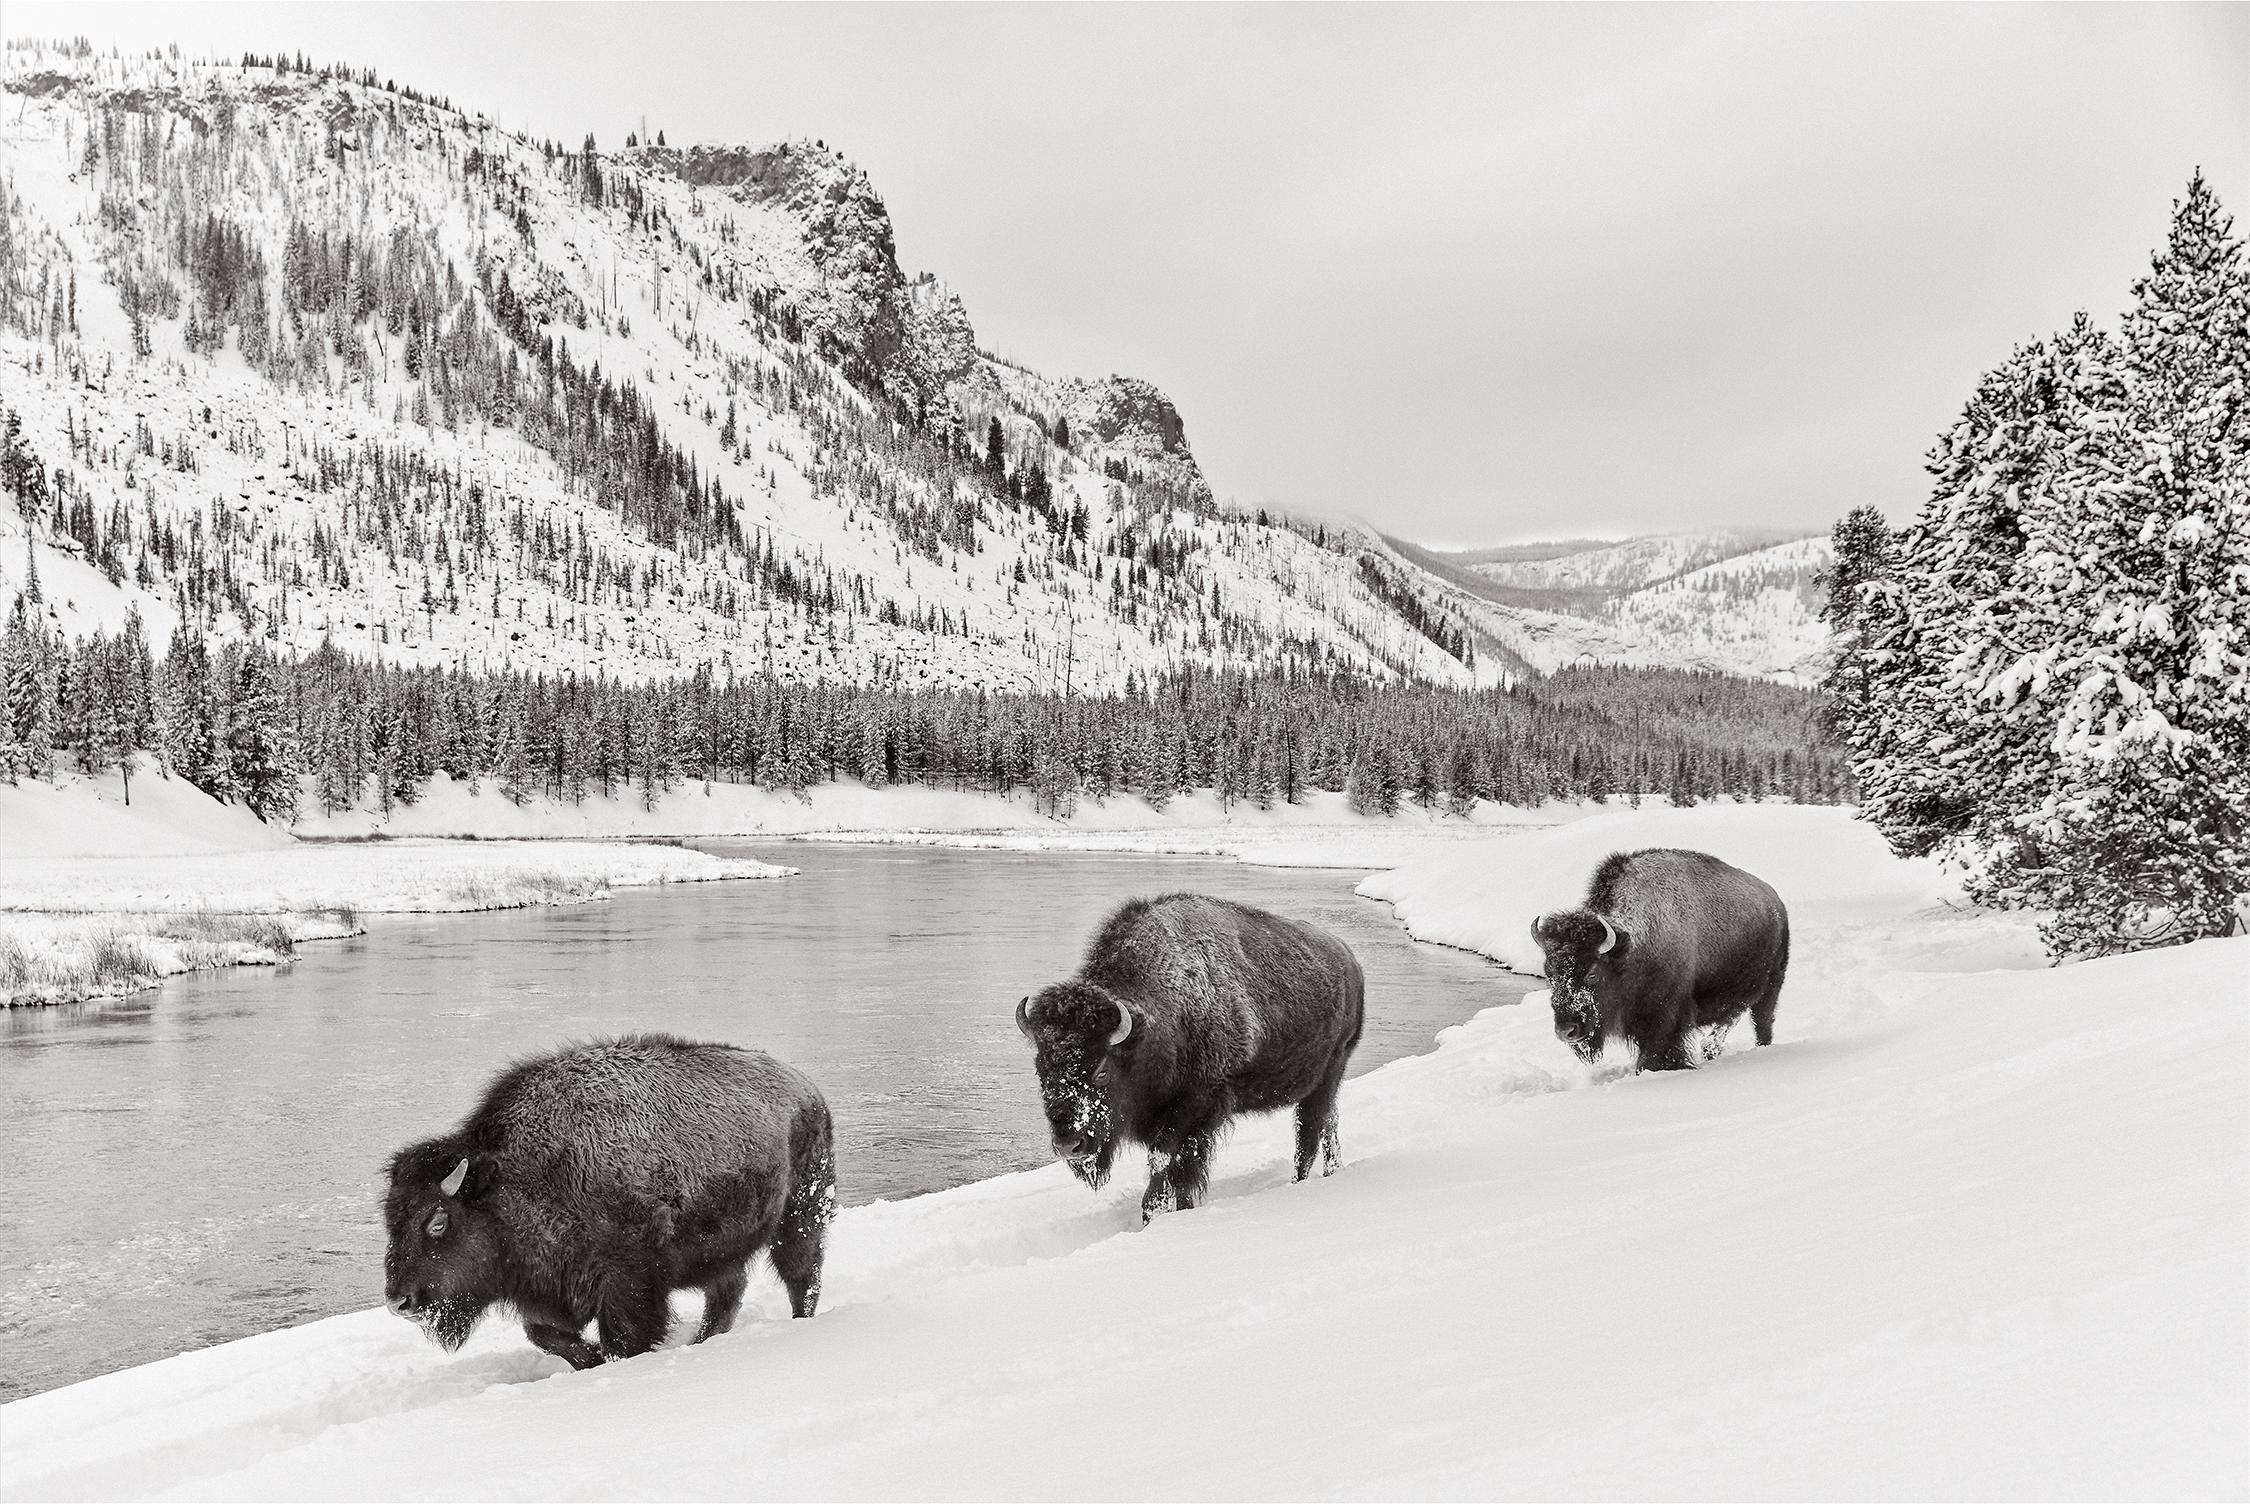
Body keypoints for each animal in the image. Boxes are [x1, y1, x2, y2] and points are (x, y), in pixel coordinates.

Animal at [383, 1033, 835, 1369]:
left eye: (438, 1222)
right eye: (392, 1222)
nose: (398, 1301)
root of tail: (808, 1089)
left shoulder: (627, 1284)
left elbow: (623, 1339)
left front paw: (609, 1361)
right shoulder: (544, 1289)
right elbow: (545, 1334)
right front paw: (592, 1359)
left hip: (801, 1215)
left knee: (801, 1277)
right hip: (723, 1247)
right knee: (728, 1293)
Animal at [1016, 893, 1365, 1221]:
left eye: (1102, 1070)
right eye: (1040, 1069)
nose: (1069, 1145)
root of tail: (1349, 960)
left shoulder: (1193, 1112)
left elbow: (1168, 1167)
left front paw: (1157, 1215)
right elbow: (1178, 1174)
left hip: (1329, 1074)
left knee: (1310, 1135)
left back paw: (1304, 1182)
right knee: (1327, 1123)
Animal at [1531, 848, 1789, 1071]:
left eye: (1592, 973)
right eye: (1550, 975)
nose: (1567, 1030)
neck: (1630, 946)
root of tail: (1776, 902)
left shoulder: (1665, 1015)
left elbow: (1657, 1050)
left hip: (1771, 986)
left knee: (1761, 1021)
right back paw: (1710, 1050)